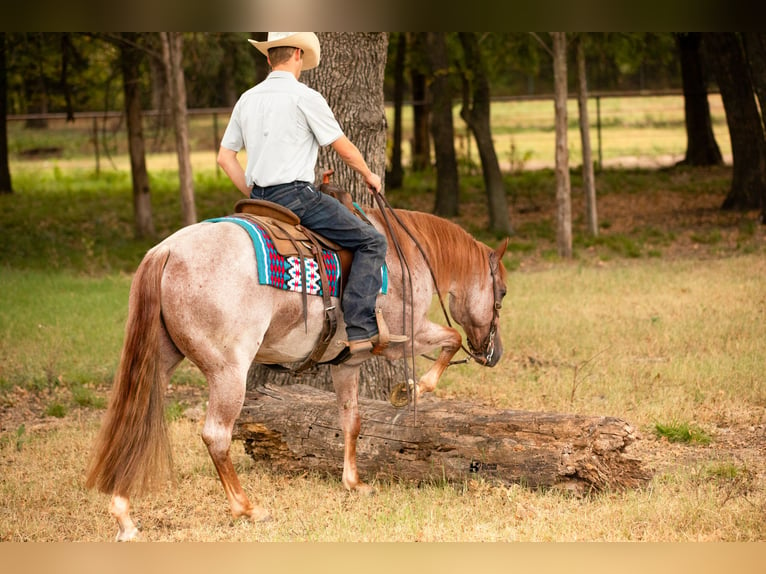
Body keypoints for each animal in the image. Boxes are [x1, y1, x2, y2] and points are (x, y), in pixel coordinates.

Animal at [85, 200, 510, 544]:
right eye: (502, 292)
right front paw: (414, 389)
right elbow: (451, 338)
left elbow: (352, 420)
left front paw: (354, 483)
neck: (405, 254)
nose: (494, 354)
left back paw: (124, 515)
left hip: (160, 359)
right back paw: (247, 508)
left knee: (135, 422)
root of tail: (167, 250)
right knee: (216, 436)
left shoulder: (347, 362)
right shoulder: (403, 337)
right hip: (228, 371)